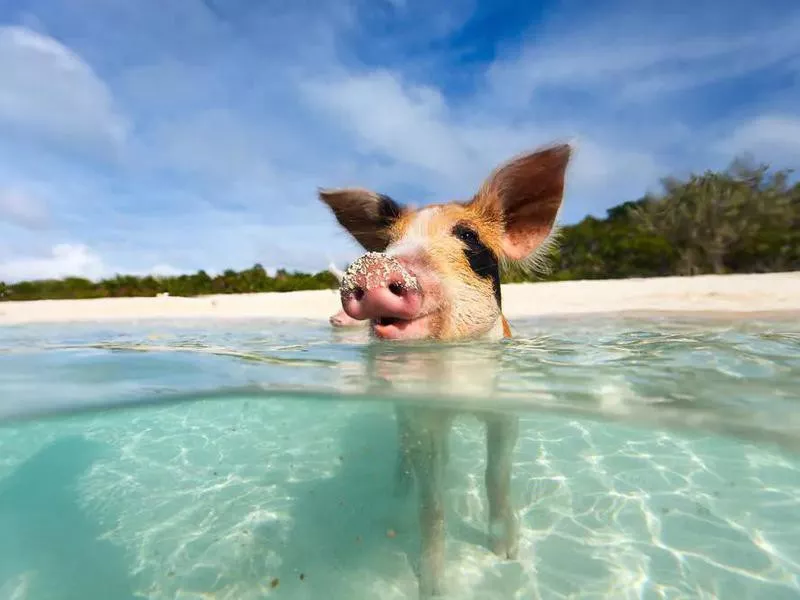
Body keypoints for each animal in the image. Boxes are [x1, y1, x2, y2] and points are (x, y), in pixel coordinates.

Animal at [316, 143, 572, 596]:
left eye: (468, 236)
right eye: (388, 243)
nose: (375, 265)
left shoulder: (506, 411)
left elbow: (496, 474)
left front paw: (506, 552)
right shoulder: (423, 415)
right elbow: (430, 503)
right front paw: (434, 589)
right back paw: (397, 492)